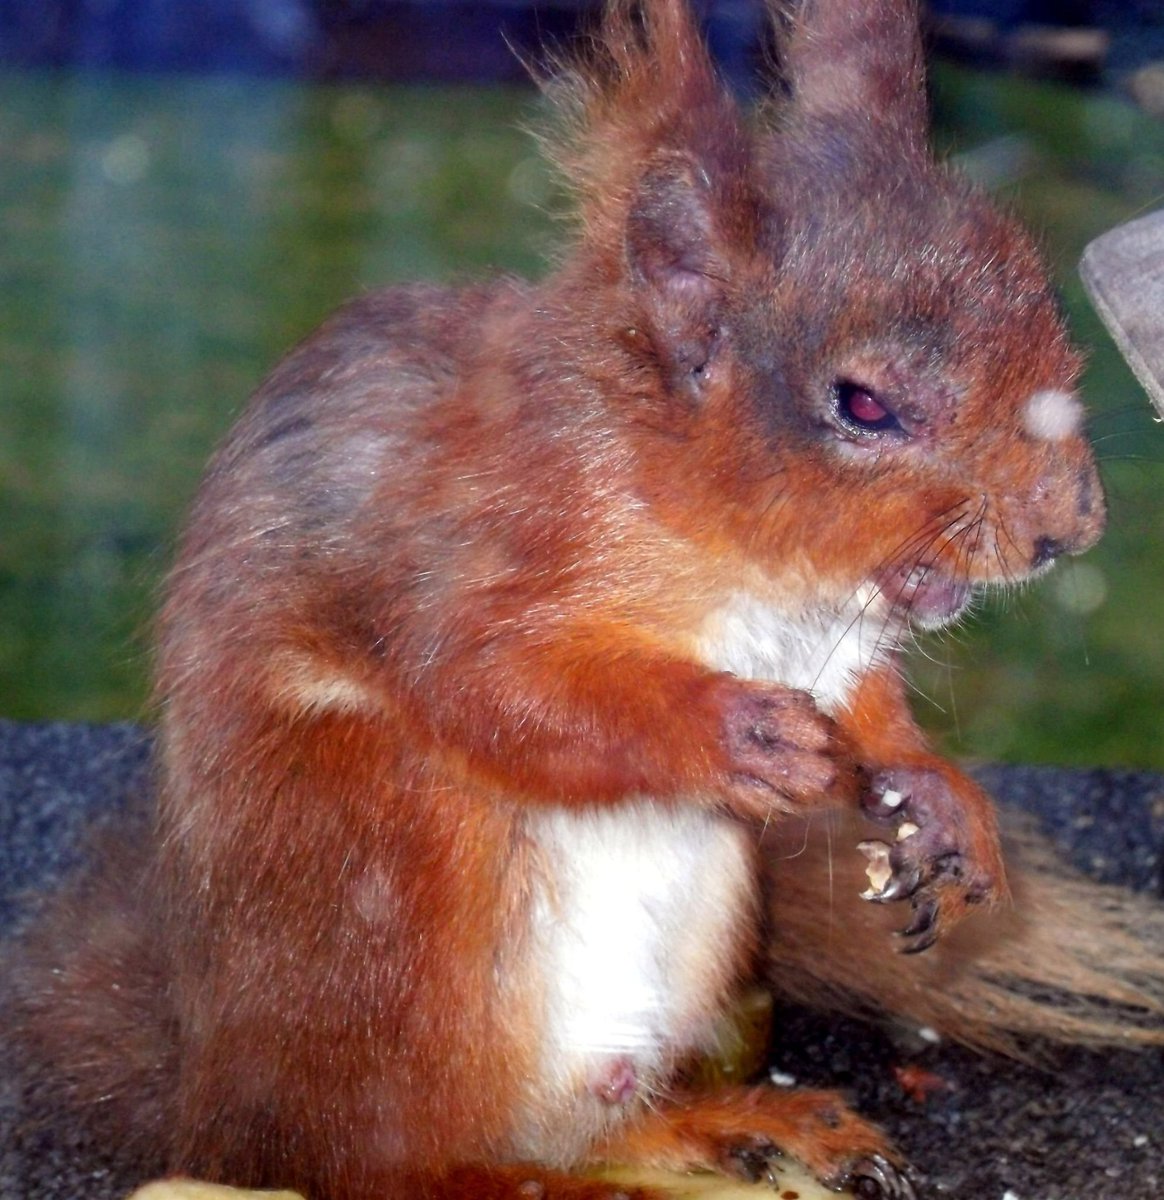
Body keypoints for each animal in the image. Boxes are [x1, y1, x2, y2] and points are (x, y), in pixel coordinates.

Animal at [4, 1, 1163, 1198]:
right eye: (865, 404)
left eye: (1047, 312)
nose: (1070, 526)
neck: (747, 563)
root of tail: (210, 1099)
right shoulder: (465, 555)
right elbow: (498, 690)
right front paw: (736, 733)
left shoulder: (830, 644)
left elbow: (873, 712)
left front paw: (937, 799)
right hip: (399, 890)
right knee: (387, 1161)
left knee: (588, 1117)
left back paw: (739, 1130)